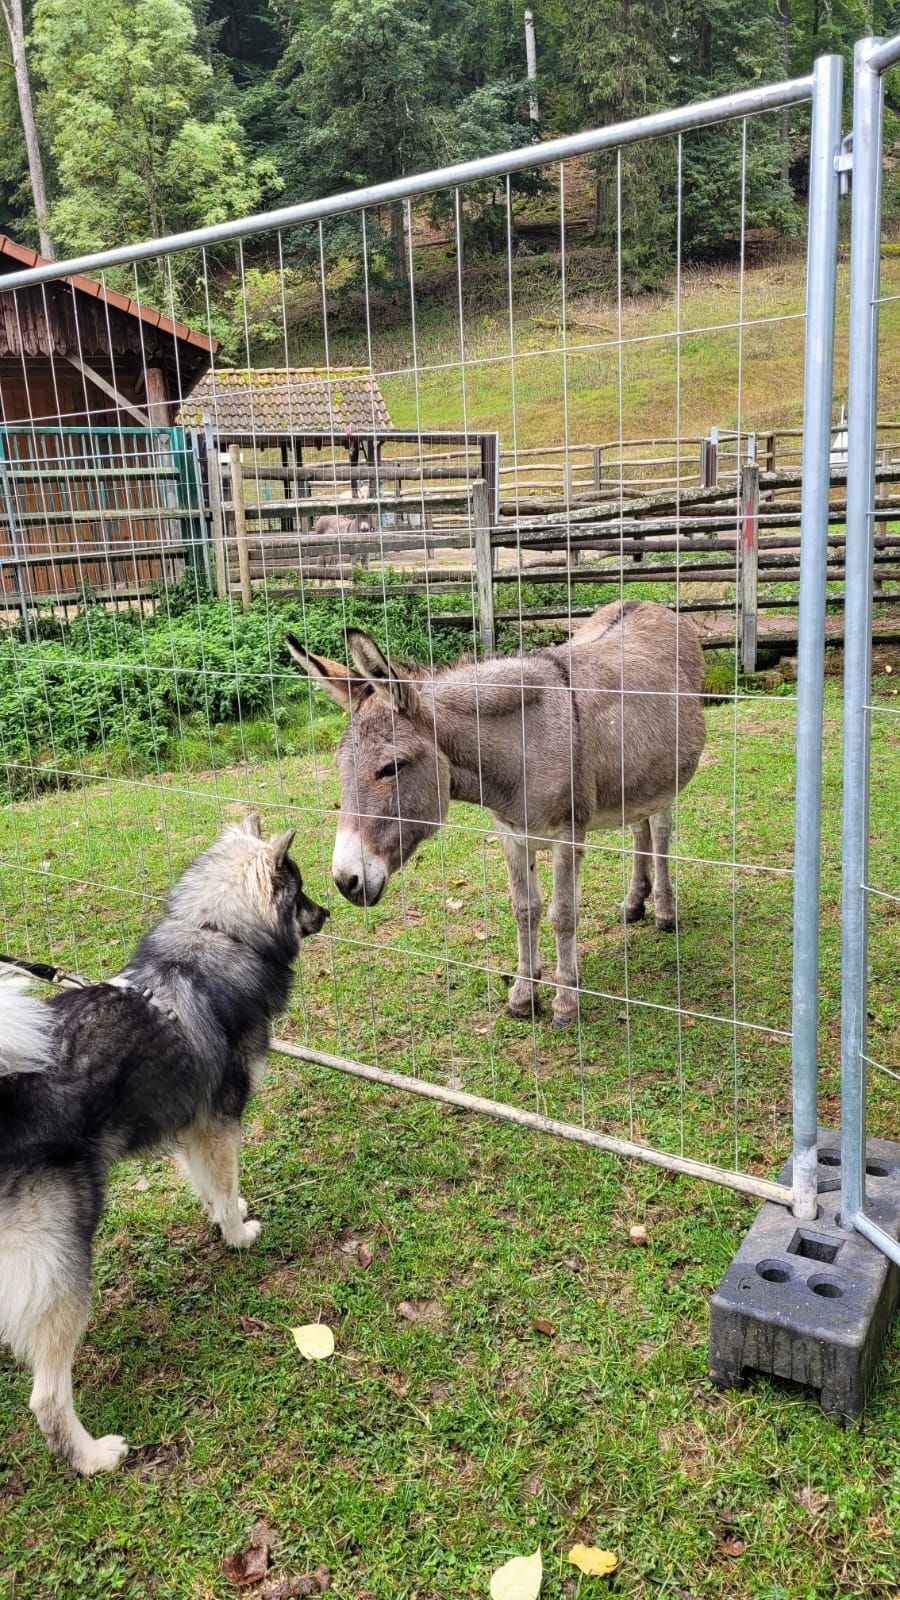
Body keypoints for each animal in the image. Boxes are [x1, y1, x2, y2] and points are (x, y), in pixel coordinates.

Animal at [0, 819, 328, 1478]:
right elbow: (224, 1183)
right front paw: (238, 1234)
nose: (327, 912)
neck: (215, 934)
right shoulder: (219, 1120)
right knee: (47, 1396)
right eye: (300, 889)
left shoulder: (191, 1127)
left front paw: (228, 1215)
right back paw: (93, 1457)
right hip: (61, 1255)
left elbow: (211, 1184)